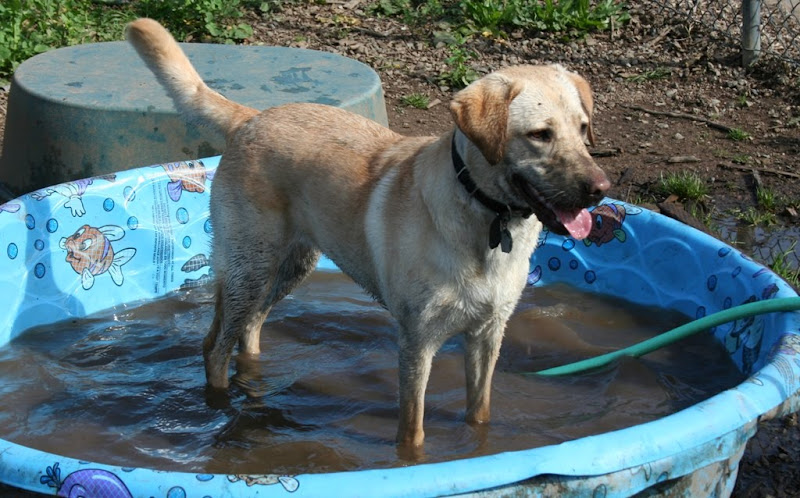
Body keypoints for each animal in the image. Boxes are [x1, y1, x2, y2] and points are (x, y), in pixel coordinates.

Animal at [128, 19, 608, 450]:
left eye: (584, 129)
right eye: (539, 135)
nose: (600, 189)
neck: (485, 215)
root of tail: (252, 116)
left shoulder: (488, 335)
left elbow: (480, 413)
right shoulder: (417, 341)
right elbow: (412, 432)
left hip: (289, 268)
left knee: (250, 328)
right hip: (251, 267)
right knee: (214, 346)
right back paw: (221, 407)